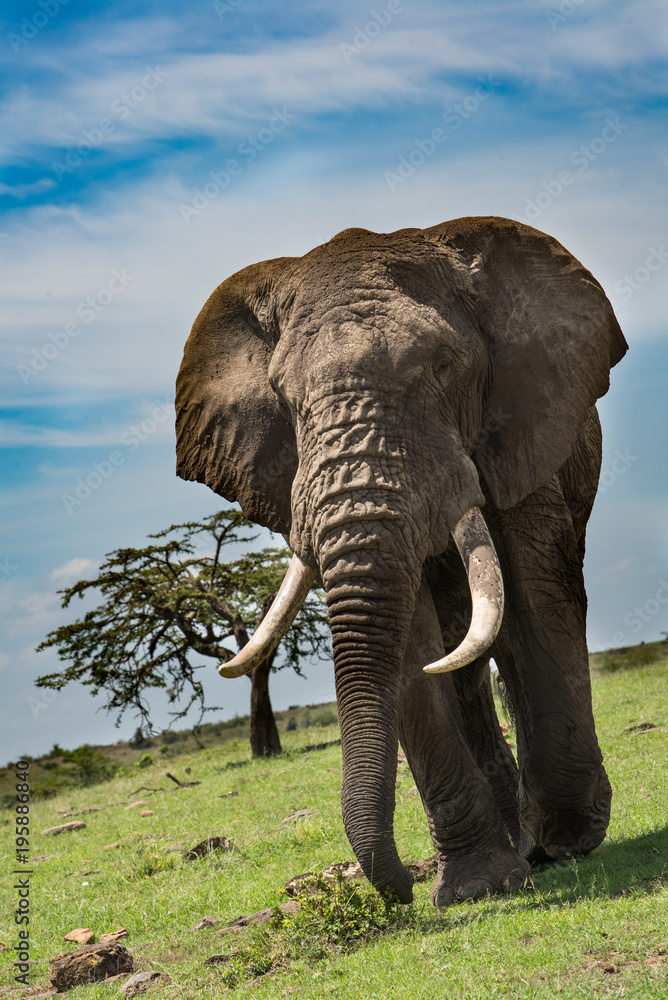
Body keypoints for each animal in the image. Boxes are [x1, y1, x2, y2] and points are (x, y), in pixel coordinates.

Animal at [175, 216, 627, 907]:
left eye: (444, 365)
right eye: (283, 394)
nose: (401, 896)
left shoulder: (523, 427)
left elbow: (534, 599)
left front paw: (570, 838)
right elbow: (411, 639)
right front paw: (477, 888)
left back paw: (541, 839)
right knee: (461, 661)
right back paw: (518, 847)